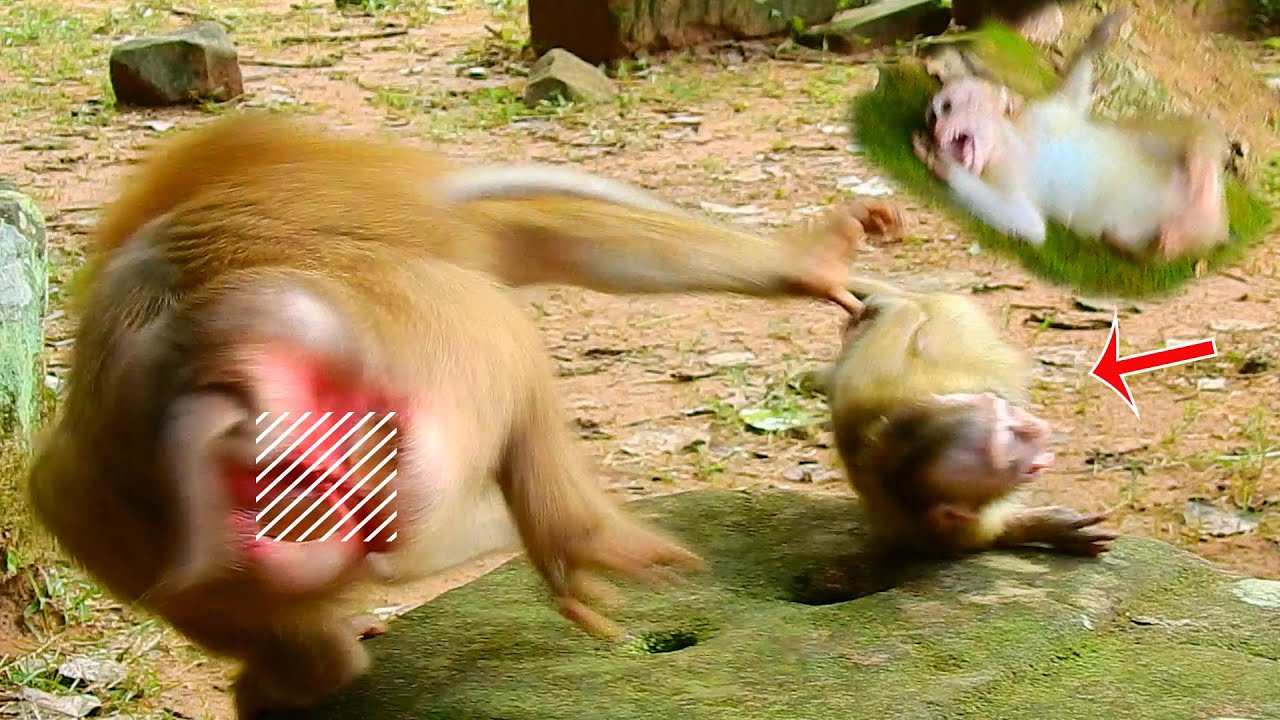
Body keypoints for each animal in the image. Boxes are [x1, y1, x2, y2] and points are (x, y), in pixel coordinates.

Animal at [28, 112, 901, 718]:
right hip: (420, 362)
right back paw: (571, 539)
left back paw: (302, 672)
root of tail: (221, 377)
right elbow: (540, 233)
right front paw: (808, 259)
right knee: (498, 334)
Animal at [912, 9, 1232, 263]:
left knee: (1188, 134)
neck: (1012, 141)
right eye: (933, 117)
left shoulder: (1040, 115)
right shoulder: (1001, 173)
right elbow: (1028, 225)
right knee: (1141, 240)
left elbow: (1071, 100)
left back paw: (1201, 163)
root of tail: (1218, 226)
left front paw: (1099, 36)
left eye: (947, 106)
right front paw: (939, 161)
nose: (935, 126)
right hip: (1166, 230)